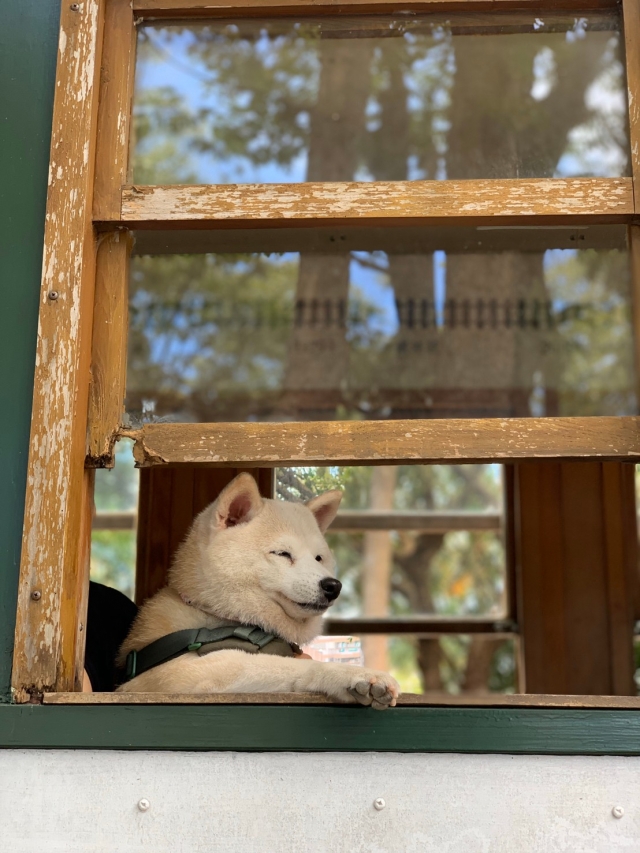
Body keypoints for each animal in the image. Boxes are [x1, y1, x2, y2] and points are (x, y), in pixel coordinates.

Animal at [116, 472, 400, 704]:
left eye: (319, 558)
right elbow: (284, 666)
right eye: (283, 554)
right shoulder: (176, 673)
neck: (223, 617)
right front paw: (354, 674)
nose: (333, 585)